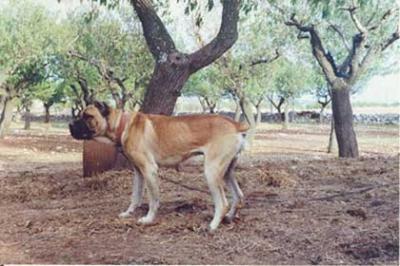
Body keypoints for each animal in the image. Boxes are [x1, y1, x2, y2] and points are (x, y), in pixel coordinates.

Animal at [70, 102, 248, 231]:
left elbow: (153, 199)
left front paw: (148, 219)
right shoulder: (138, 172)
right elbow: (135, 196)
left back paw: (212, 225)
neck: (123, 125)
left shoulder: (149, 170)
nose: (70, 125)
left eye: (87, 116)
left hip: (211, 172)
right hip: (226, 172)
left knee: (222, 203)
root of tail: (236, 125)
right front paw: (128, 213)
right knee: (238, 195)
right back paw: (229, 218)